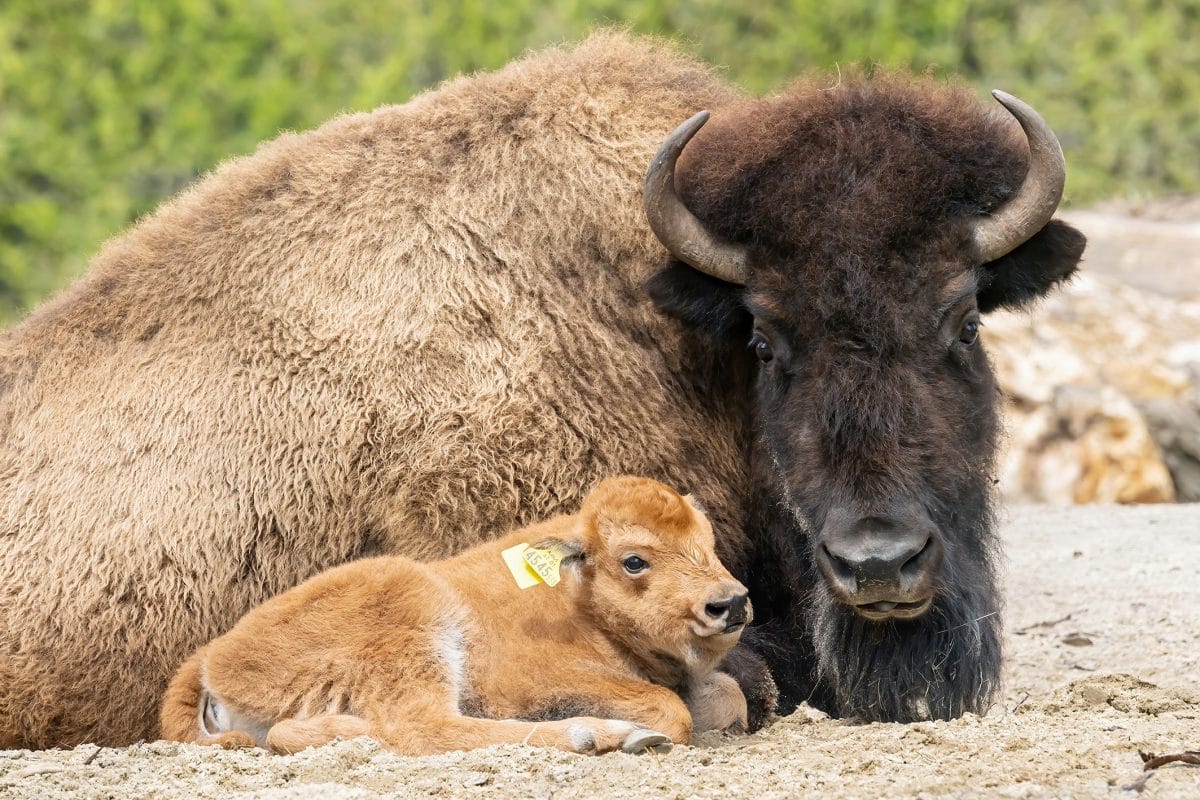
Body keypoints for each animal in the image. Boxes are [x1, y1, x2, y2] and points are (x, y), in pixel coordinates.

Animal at [159, 474, 748, 758]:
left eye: (708, 541)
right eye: (634, 561)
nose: (731, 603)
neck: (577, 594)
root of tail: (210, 657)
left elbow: (727, 696)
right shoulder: (534, 681)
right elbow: (672, 709)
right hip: (414, 617)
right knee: (423, 727)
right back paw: (601, 736)